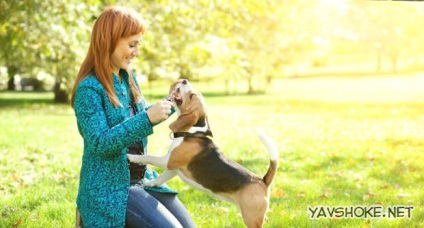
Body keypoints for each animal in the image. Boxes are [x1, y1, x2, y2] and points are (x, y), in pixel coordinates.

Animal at [127, 79, 280, 227]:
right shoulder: (174, 169)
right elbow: (159, 179)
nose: (184, 80)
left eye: (191, 96)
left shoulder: (168, 161)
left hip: (251, 218)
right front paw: (148, 183)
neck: (192, 132)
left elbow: (148, 157)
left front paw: (131, 157)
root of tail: (263, 181)